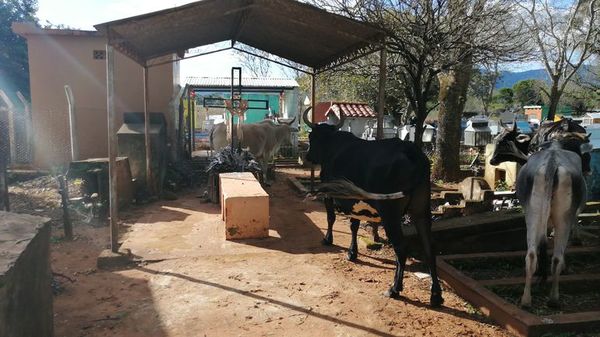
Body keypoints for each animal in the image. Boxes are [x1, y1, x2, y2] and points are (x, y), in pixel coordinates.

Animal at [302, 107, 442, 304]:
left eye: (311, 137)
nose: (308, 156)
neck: (332, 147)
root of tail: (412, 151)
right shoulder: (354, 201)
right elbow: (354, 225)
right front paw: (352, 253)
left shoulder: (330, 194)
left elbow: (331, 218)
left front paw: (328, 240)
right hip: (421, 211)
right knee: (430, 247)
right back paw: (436, 295)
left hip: (391, 215)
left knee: (401, 248)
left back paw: (394, 289)